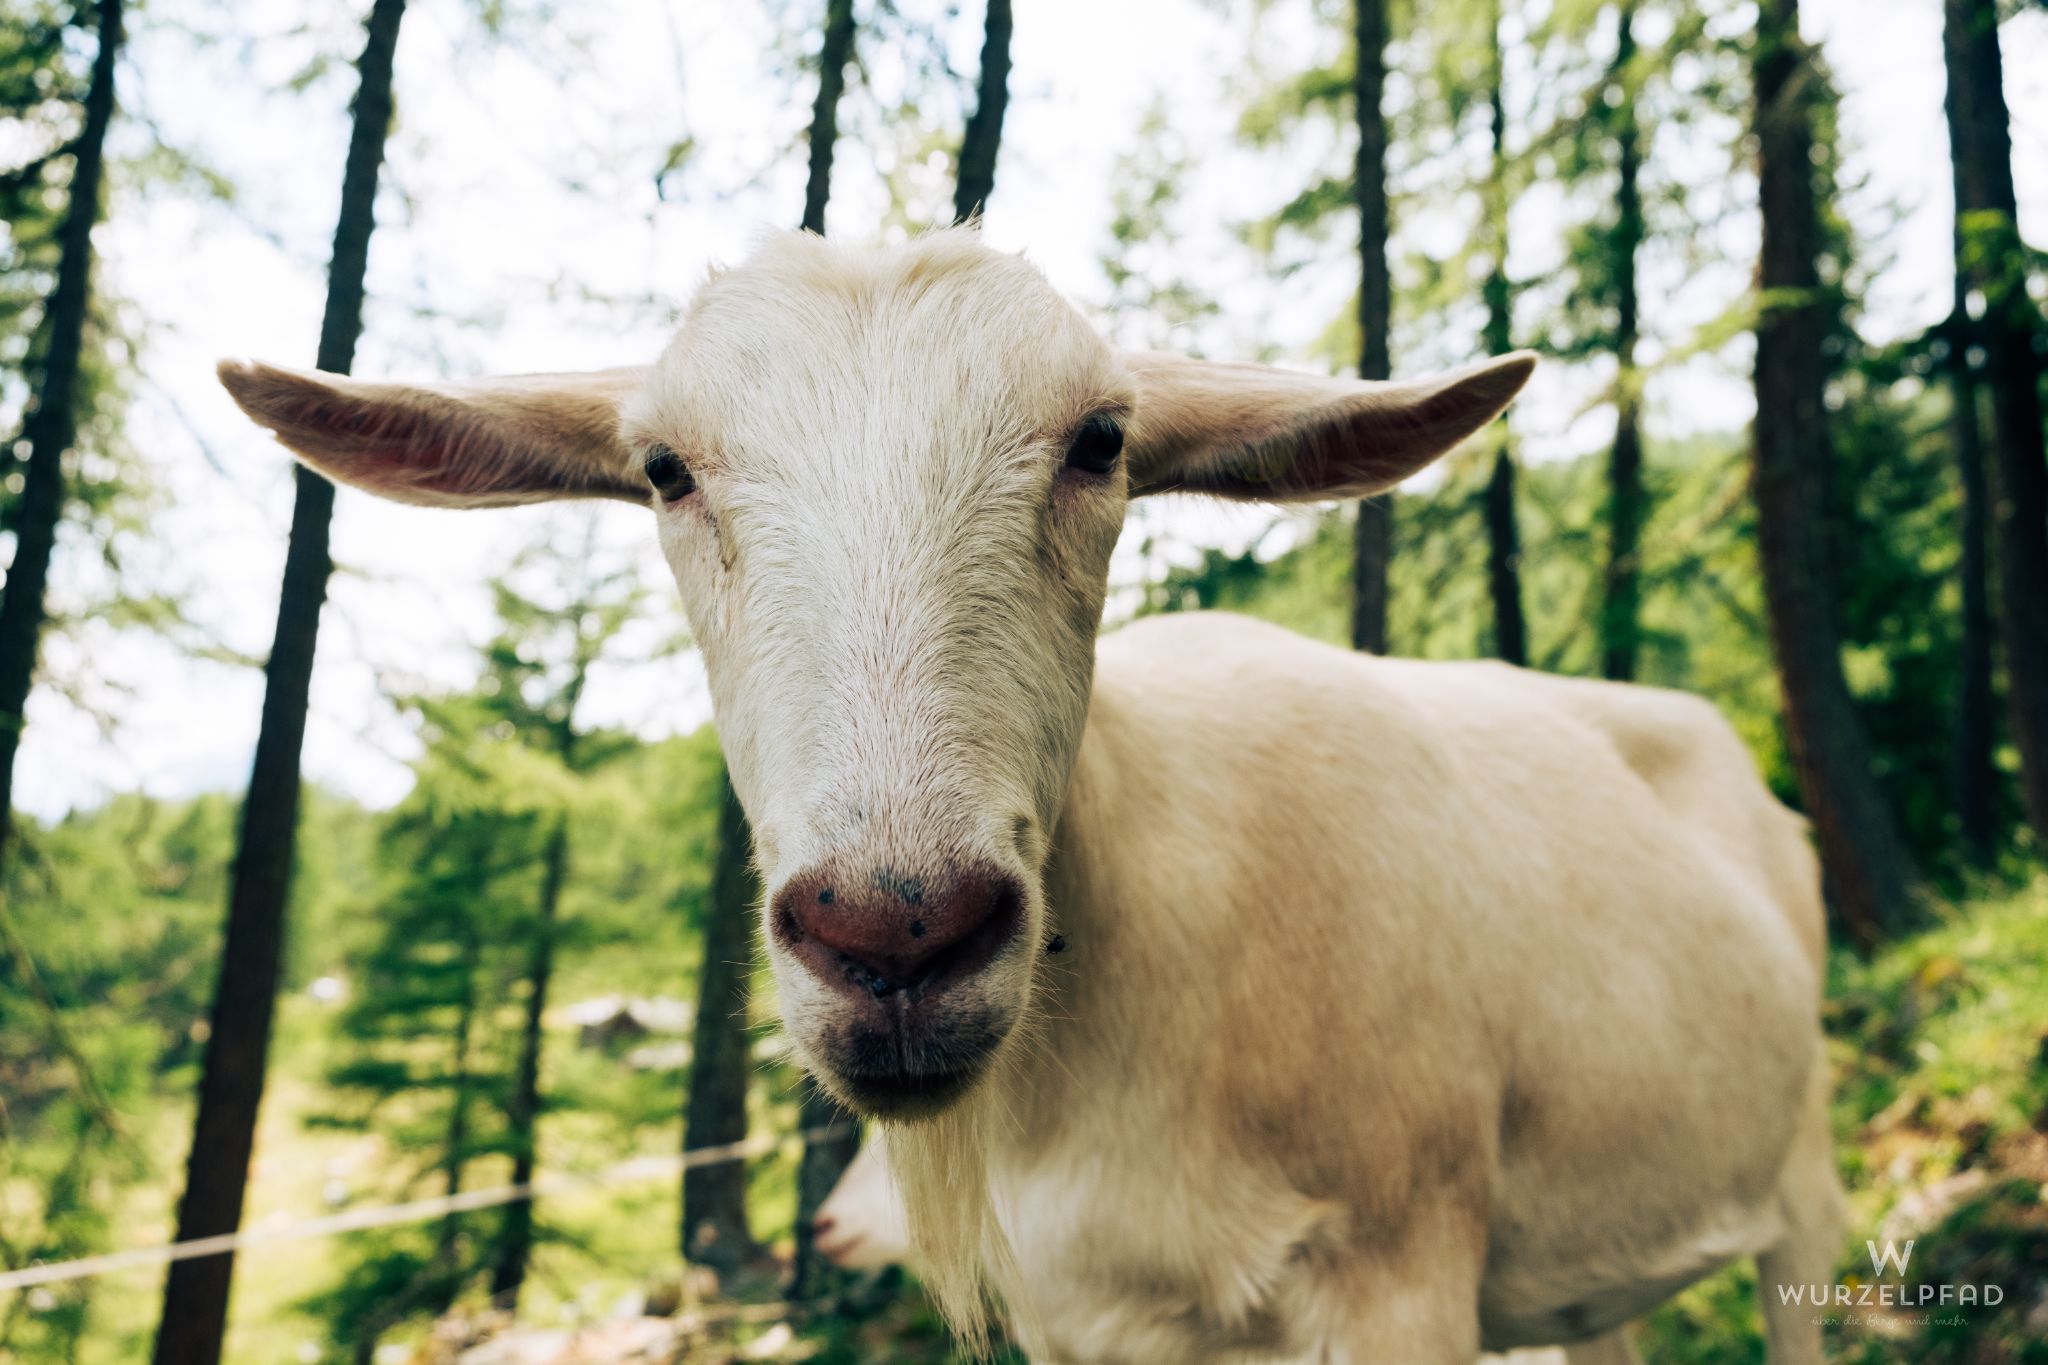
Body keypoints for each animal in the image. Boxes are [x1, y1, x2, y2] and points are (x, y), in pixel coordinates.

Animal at [220, 228, 1841, 1363]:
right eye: (666, 470)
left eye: (1099, 442)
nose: (896, 935)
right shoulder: (1087, 1322)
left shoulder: (1400, 1267)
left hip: (1801, 1186)